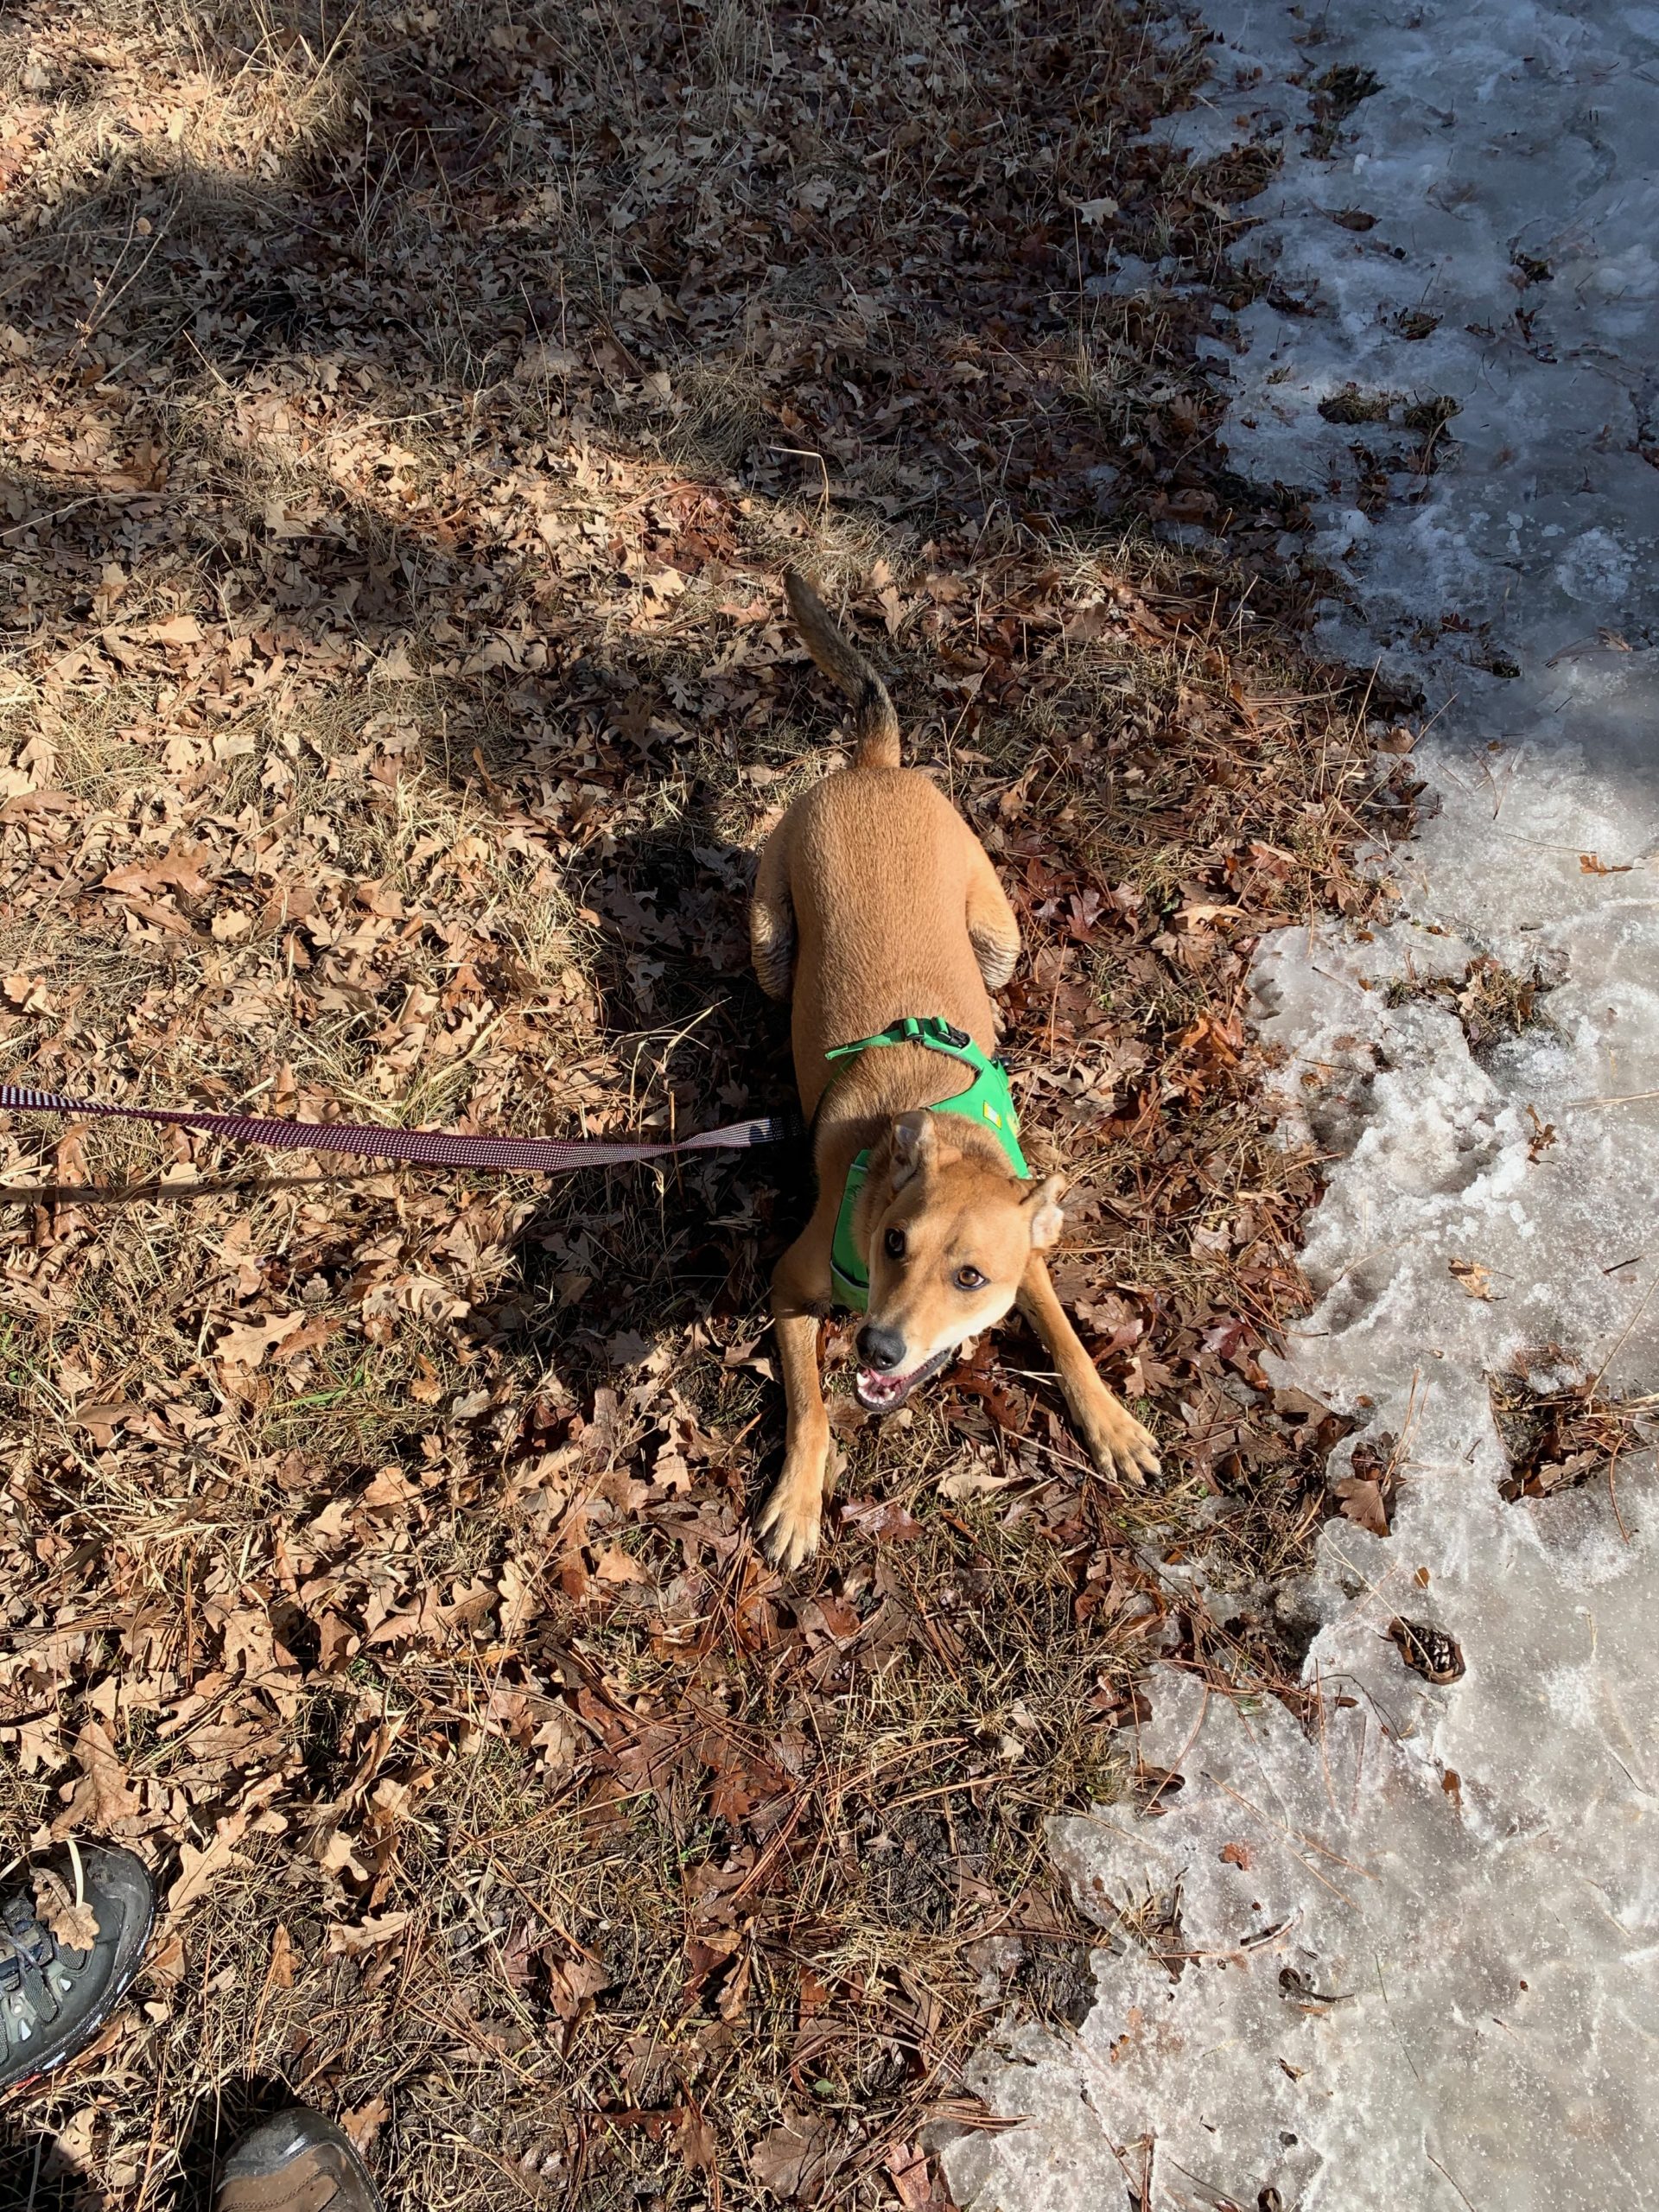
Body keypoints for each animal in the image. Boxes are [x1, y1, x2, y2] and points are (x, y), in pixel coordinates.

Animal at [752, 570, 1159, 1574]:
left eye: (972, 1277)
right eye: (895, 1242)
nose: (878, 1345)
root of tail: (877, 765)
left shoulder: (1032, 1255)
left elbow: (1066, 1335)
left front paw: (1111, 1424)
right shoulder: (787, 1285)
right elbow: (811, 1404)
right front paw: (800, 1501)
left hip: (1001, 939)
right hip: (771, 937)